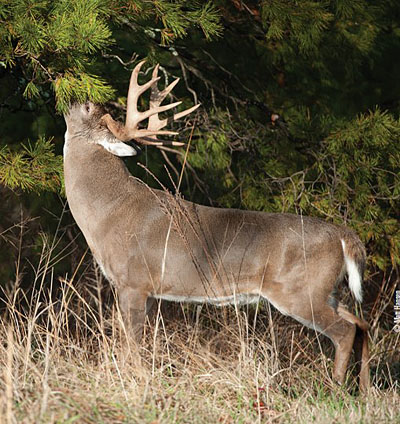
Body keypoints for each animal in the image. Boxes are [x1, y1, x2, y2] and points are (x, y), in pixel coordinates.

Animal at [64, 60, 370, 390]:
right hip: (325, 289)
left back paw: (336, 386)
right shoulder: (146, 290)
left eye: (87, 106)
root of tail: (343, 235)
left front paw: (133, 379)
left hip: (299, 291)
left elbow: (132, 343)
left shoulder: (133, 281)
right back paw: (364, 390)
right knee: (361, 323)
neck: (109, 210)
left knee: (345, 331)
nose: (71, 93)